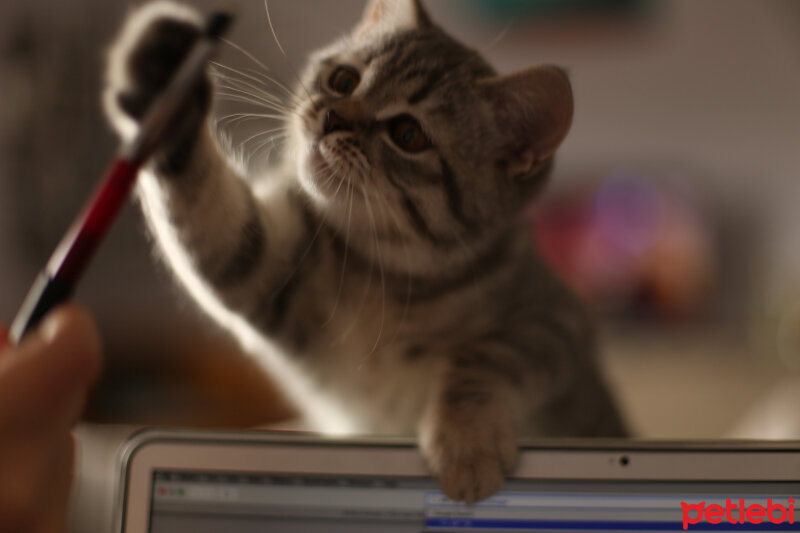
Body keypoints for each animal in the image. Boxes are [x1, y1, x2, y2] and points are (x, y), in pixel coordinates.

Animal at [103, 0, 624, 500]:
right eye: (344, 80)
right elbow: (202, 202)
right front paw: (164, 72)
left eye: (409, 134)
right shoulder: (262, 265)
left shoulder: (557, 321)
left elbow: (485, 359)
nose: (333, 117)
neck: (384, 277)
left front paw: (466, 442)